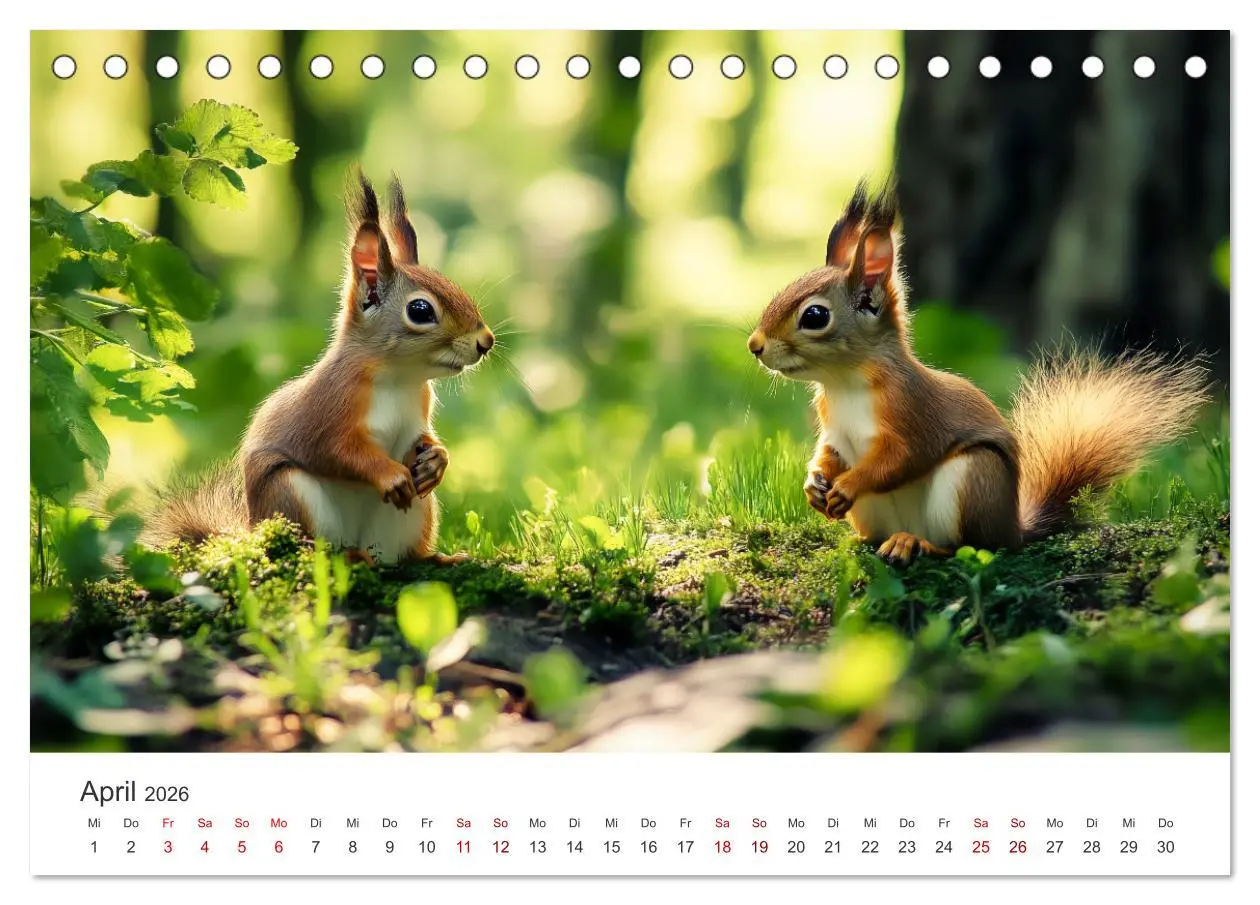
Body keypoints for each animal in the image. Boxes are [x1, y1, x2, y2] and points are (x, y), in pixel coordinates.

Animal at [143, 170, 494, 565]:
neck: (400, 377)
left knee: (403, 554)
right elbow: (336, 451)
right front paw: (389, 474)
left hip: (416, 514)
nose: (486, 341)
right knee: (314, 548)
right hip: (290, 494)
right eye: (420, 310)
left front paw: (437, 459)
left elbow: (423, 439)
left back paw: (433, 557)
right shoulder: (326, 408)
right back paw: (343, 556)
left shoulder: (418, 412)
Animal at [747, 180, 1211, 565]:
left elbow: (900, 459)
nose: (755, 346)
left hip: (973, 480)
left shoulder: (914, 414)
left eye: (815, 316)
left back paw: (915, 544)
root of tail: (1013, 529)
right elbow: (830, 450)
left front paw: (847, 483)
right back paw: (865, 540)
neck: (843, 383)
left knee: (966, 546)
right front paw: (815, 481)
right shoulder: (834, 427)